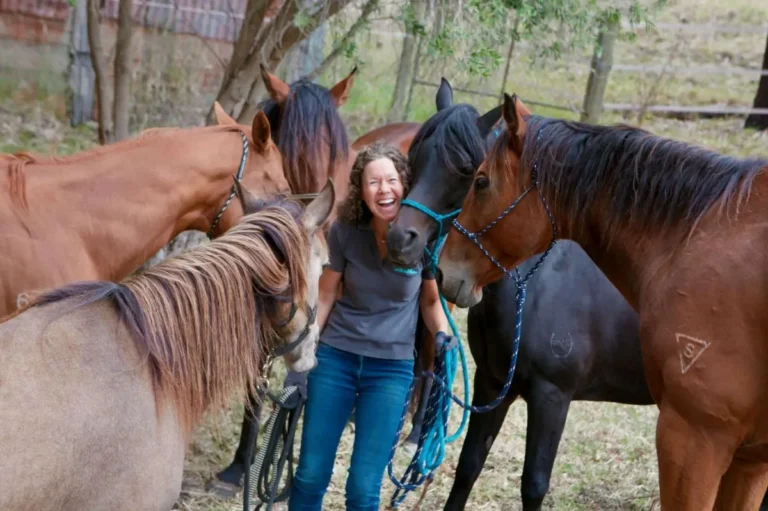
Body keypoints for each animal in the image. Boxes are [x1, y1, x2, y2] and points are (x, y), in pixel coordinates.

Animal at [438, 93, 768, 511]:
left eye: (479, 181)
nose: (442, 271)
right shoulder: (493, 385)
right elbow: (467, 468)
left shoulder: (557, 397)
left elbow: (533, 484)